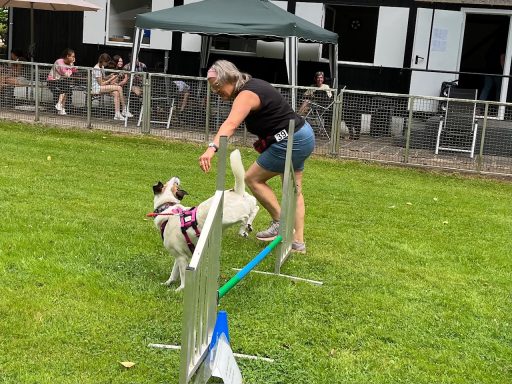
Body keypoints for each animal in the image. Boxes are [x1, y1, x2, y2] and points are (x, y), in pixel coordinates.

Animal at [150, 150, 258, 292]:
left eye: (172, 183)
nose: (176, 176)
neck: (168, 208)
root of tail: (237, 191)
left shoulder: (182, 258)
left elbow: (183, 277)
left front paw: (179, 289)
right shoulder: (178, 256)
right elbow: (173, 273)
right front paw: (167, 283)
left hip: (228, 216)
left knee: (245, 217)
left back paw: (243, 228)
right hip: (247, 203)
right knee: (255, 208)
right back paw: (248, 227)